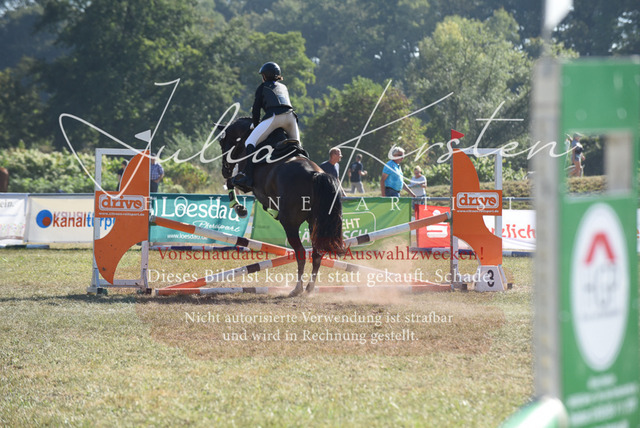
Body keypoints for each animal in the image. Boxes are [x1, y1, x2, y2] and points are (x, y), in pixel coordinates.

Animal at [217, 117, 344, 297]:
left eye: (222, 143)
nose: (225, 170)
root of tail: (315, 174)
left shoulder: (244, 182)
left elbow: (231, 182)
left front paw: (239, 208)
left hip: (290, 223)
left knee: (301, 253)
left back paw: (297, 288)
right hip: (314, 223)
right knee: (317, 254)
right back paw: (309, 288)